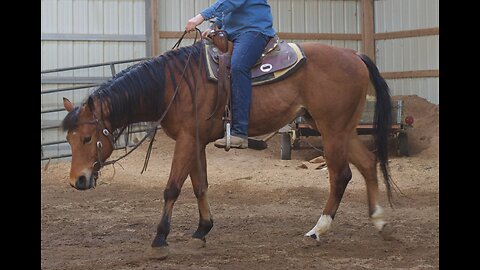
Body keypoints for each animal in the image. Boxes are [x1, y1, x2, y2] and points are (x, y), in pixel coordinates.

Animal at [61, 39, 394, 258]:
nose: (77, 181)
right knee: (367, 163)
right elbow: (200, 186)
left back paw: (318, 230)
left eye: (87, 138)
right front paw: (202, 231)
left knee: (340, 175)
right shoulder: (194, 141)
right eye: (69, 139)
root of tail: (354, 54)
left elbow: (172, 188)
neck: (174, 85)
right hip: (342, 130)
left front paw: (159, 240)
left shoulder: (186, 140)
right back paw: (378, 221)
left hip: (332, 130)